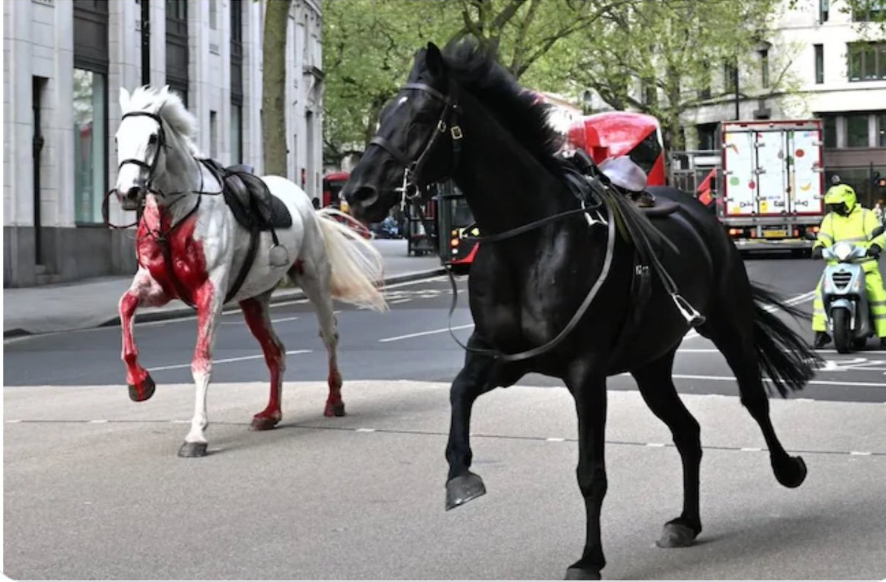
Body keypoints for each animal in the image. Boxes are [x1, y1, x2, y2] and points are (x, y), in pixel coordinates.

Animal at [112, 86, 388, 458]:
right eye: (117, 138)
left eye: (153, 137)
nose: (127, 193)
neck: (177, 213)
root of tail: (307, 203)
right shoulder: (157, 286)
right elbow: (125, 308)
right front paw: (140, 383)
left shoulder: (210, 291)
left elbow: (202, 361)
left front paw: (196, 435)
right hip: (254, 299)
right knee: (276, 351)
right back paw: (271, 413)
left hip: (314, 279)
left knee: (329, 334)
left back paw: (334, 400)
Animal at [344, 40, 824, 580]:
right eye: (385, 113)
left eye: (421, 117)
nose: (357, 192)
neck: (528, 242)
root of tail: (697, 208)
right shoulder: (501, 359)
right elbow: (459, 394)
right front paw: (460, 476)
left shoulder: (584, 371)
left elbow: (590, 472)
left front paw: (589, 558)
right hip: (650, 362)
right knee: (687, 432)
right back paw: (687, 521)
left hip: (728, 323)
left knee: (753, 399)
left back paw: (787, 468)